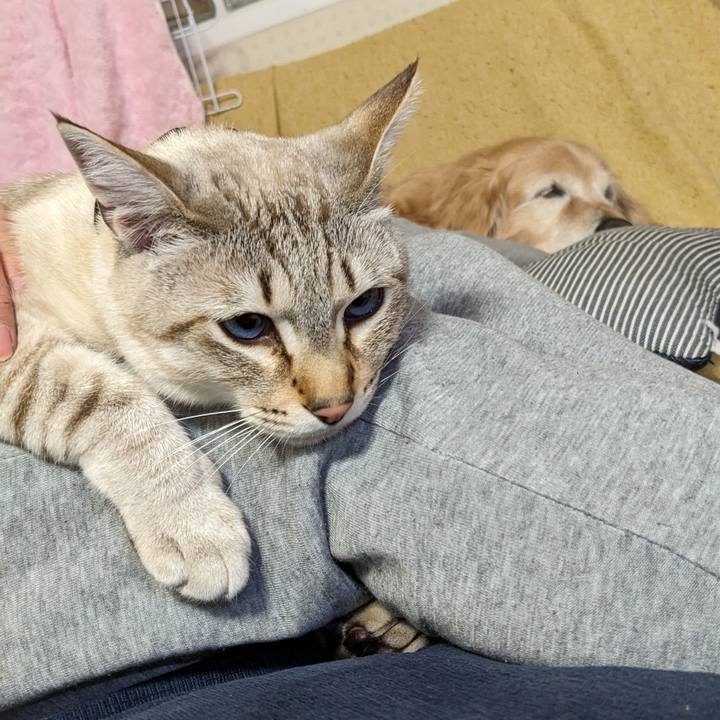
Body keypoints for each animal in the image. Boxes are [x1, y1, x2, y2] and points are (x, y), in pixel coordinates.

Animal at [0, 62, 419, 603]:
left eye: (363, 306)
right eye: (248, 327)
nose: (336, 409)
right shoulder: (16, 342)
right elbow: (107, 401)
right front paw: (194, 527)